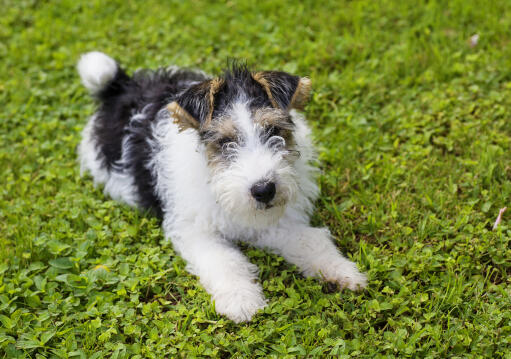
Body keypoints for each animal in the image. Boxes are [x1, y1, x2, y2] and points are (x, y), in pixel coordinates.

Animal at [77, 50, 368, 324]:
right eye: (225, 141)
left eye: (273, 130)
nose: (264, 190)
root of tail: (122, 85)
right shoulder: (197, 231)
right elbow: (225, 261)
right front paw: (242, 300)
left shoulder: (278, 221)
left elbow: (310, 241)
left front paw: (341, 271)